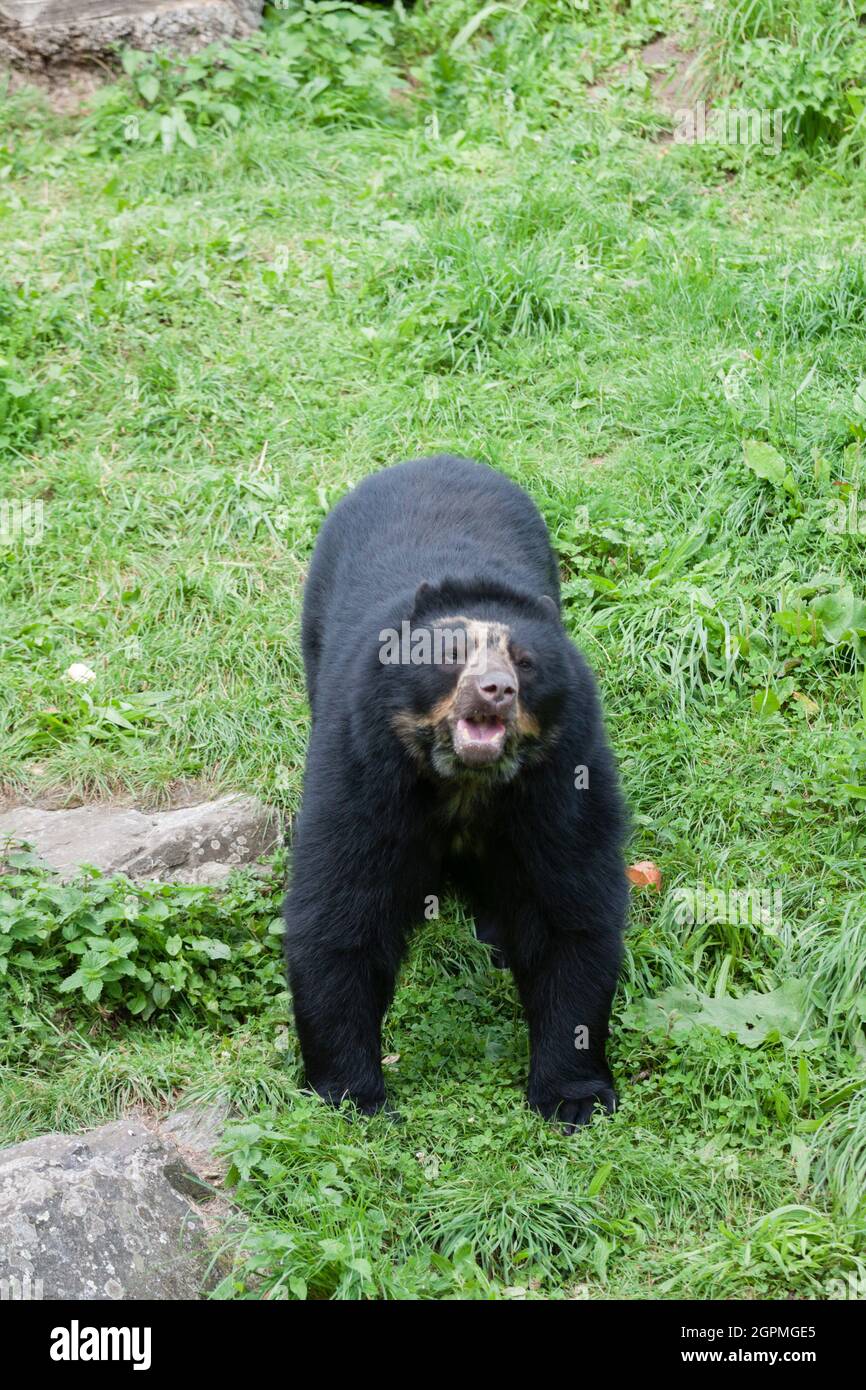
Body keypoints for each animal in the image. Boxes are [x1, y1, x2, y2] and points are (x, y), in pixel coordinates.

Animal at [284, 455, 631, 1128]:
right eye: (450, 651)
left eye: (525, 661)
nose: (495, 689)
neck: (465, 782)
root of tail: (432, 459)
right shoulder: (362, 767)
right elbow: (338, 907)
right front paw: (351, 1094)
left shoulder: (562, 778)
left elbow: (570, 911)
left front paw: (574, 1097)